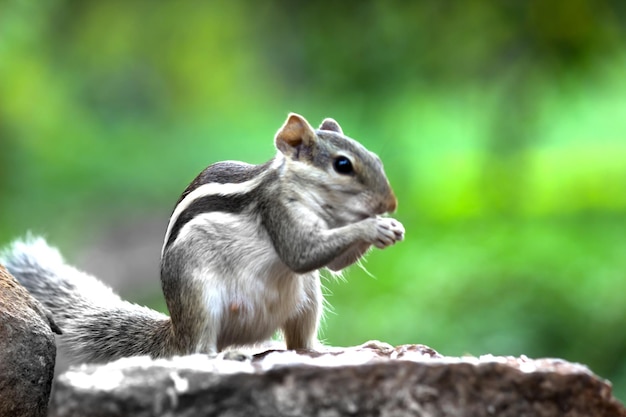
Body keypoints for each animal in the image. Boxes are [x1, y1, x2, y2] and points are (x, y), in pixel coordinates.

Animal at [1, 112, 404, 362]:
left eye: (375, 157)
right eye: (342, 165)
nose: (391, 203)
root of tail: (175, 330)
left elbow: (331, 263)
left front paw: (389, 227)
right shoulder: (278, 212)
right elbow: (300, 254)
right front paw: (375, 226)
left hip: (307, 298)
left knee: (299, 345)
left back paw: (332, 351)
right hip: (201, 297)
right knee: (198, 351)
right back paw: (228, 355)